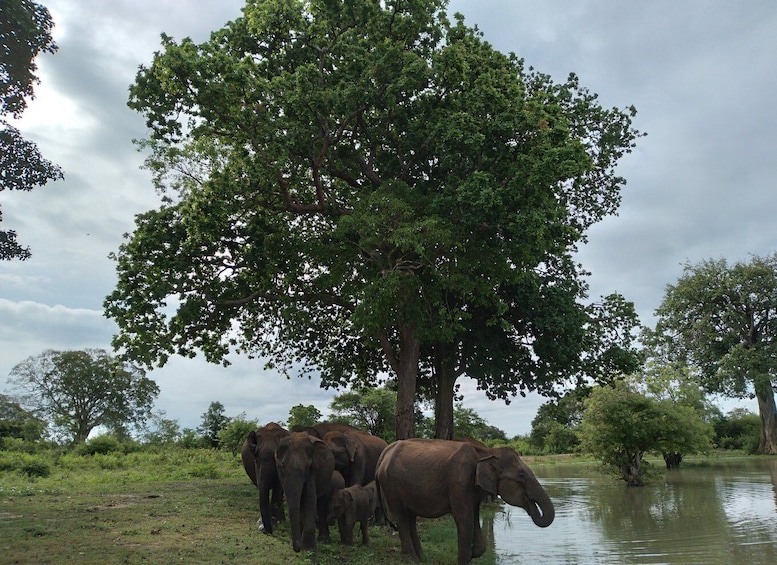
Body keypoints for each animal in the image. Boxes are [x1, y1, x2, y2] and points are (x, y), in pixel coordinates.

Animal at [374, 438, 552, 560]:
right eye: (521, 476)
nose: (532, 507)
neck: (487, 452)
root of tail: (385, 452)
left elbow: (473, 517)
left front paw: (474, 554)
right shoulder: (460, 482)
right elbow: (464, 519)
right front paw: (467, 556)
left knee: (410, 517)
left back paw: (422, 558)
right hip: (390, 484)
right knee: (401, 517)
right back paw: (412, 559)